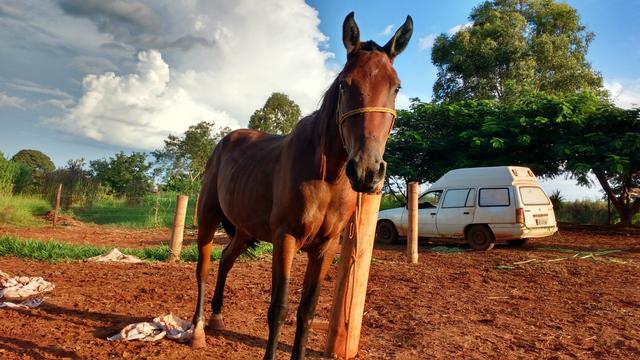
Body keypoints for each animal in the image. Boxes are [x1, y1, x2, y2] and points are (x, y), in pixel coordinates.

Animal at [190, 11, 412, 360]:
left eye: (396, 87)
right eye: (345, 84)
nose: (367, 171)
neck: (326, 175)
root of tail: (227, 140)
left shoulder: (325, 247)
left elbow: (306, 310)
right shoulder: (286, 238)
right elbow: (279, 309)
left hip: (245, 230)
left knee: (225, 258)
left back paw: (216, 317)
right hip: (208, 217)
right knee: (203, 267)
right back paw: (197, 329)